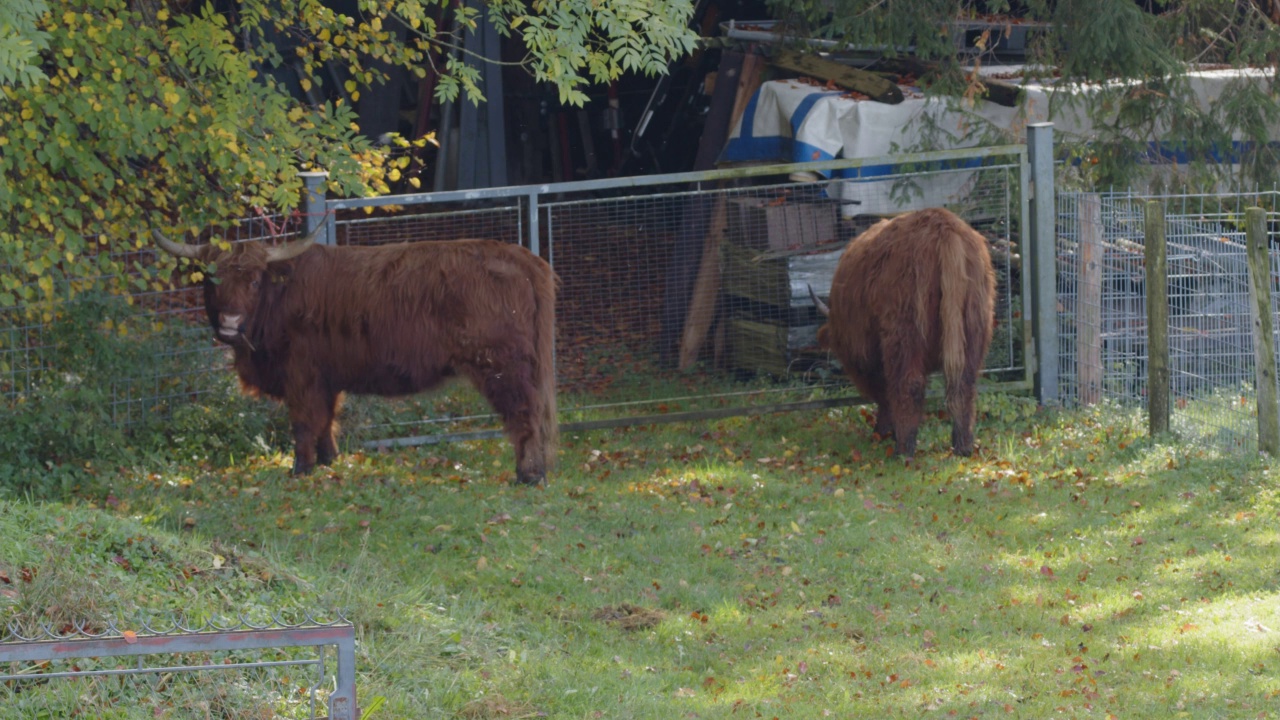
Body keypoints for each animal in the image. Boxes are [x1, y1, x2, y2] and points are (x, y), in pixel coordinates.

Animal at [157, 224, 558, 481]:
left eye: (254, 281)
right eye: (212, 279)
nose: (229, 322)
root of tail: (522, 257)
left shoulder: (301, 374)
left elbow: (304, 421)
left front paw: (300, 469)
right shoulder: (326, 376)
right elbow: (326, 420)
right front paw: (328, 461)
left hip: (503, 366)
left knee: (525, 412)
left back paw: (529, 474)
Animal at [808, 204, 998, 456]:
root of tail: (944, 225)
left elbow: (885, 393)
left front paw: (882, 431)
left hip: (904, 333)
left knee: (909, 385)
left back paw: (904, 449)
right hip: (974, 326)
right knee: (964, 383)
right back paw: (963, 446)